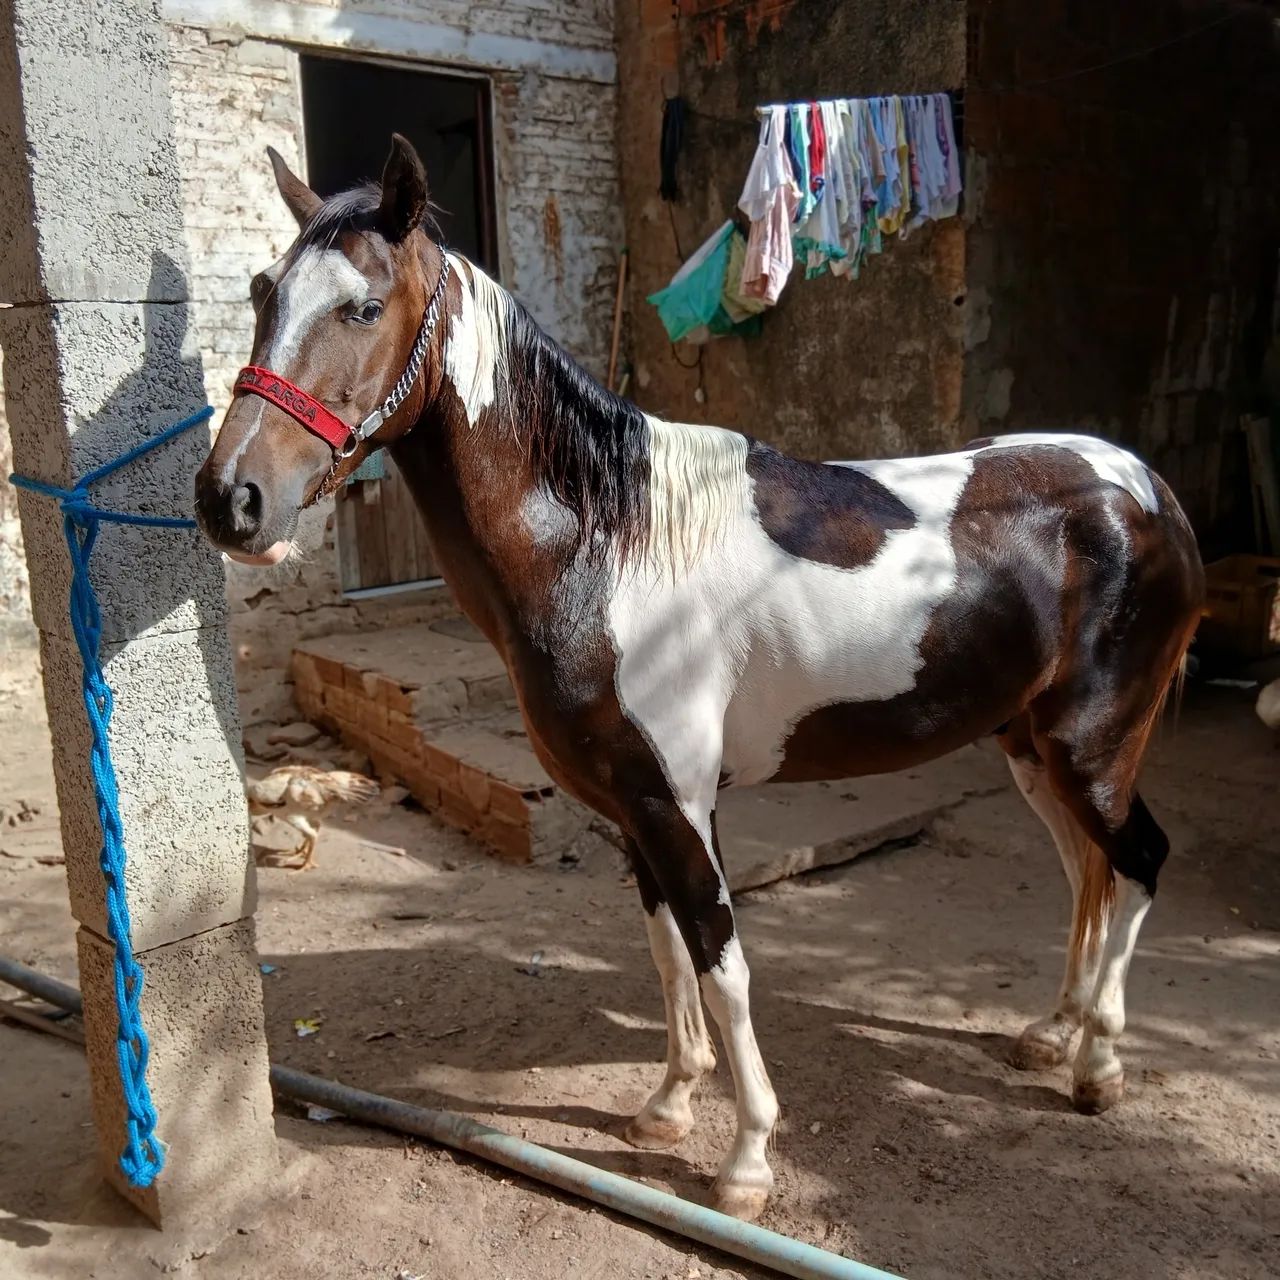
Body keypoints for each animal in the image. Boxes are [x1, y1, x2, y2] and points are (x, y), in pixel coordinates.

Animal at [195, 135, 1205, 1221]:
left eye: (362, 307)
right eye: (263, 293)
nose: (230, 499)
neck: (608, 544)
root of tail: (1146, 490)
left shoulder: (678, 802)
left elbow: (722, 962)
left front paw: (747, 1157)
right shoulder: (632, 805)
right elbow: (668, 954)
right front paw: (669, 1105)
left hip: (1090, 746)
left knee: (1137, 860)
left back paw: (1097, 1066)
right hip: (1029, 745)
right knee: (1082, 868)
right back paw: (1054, 1032)